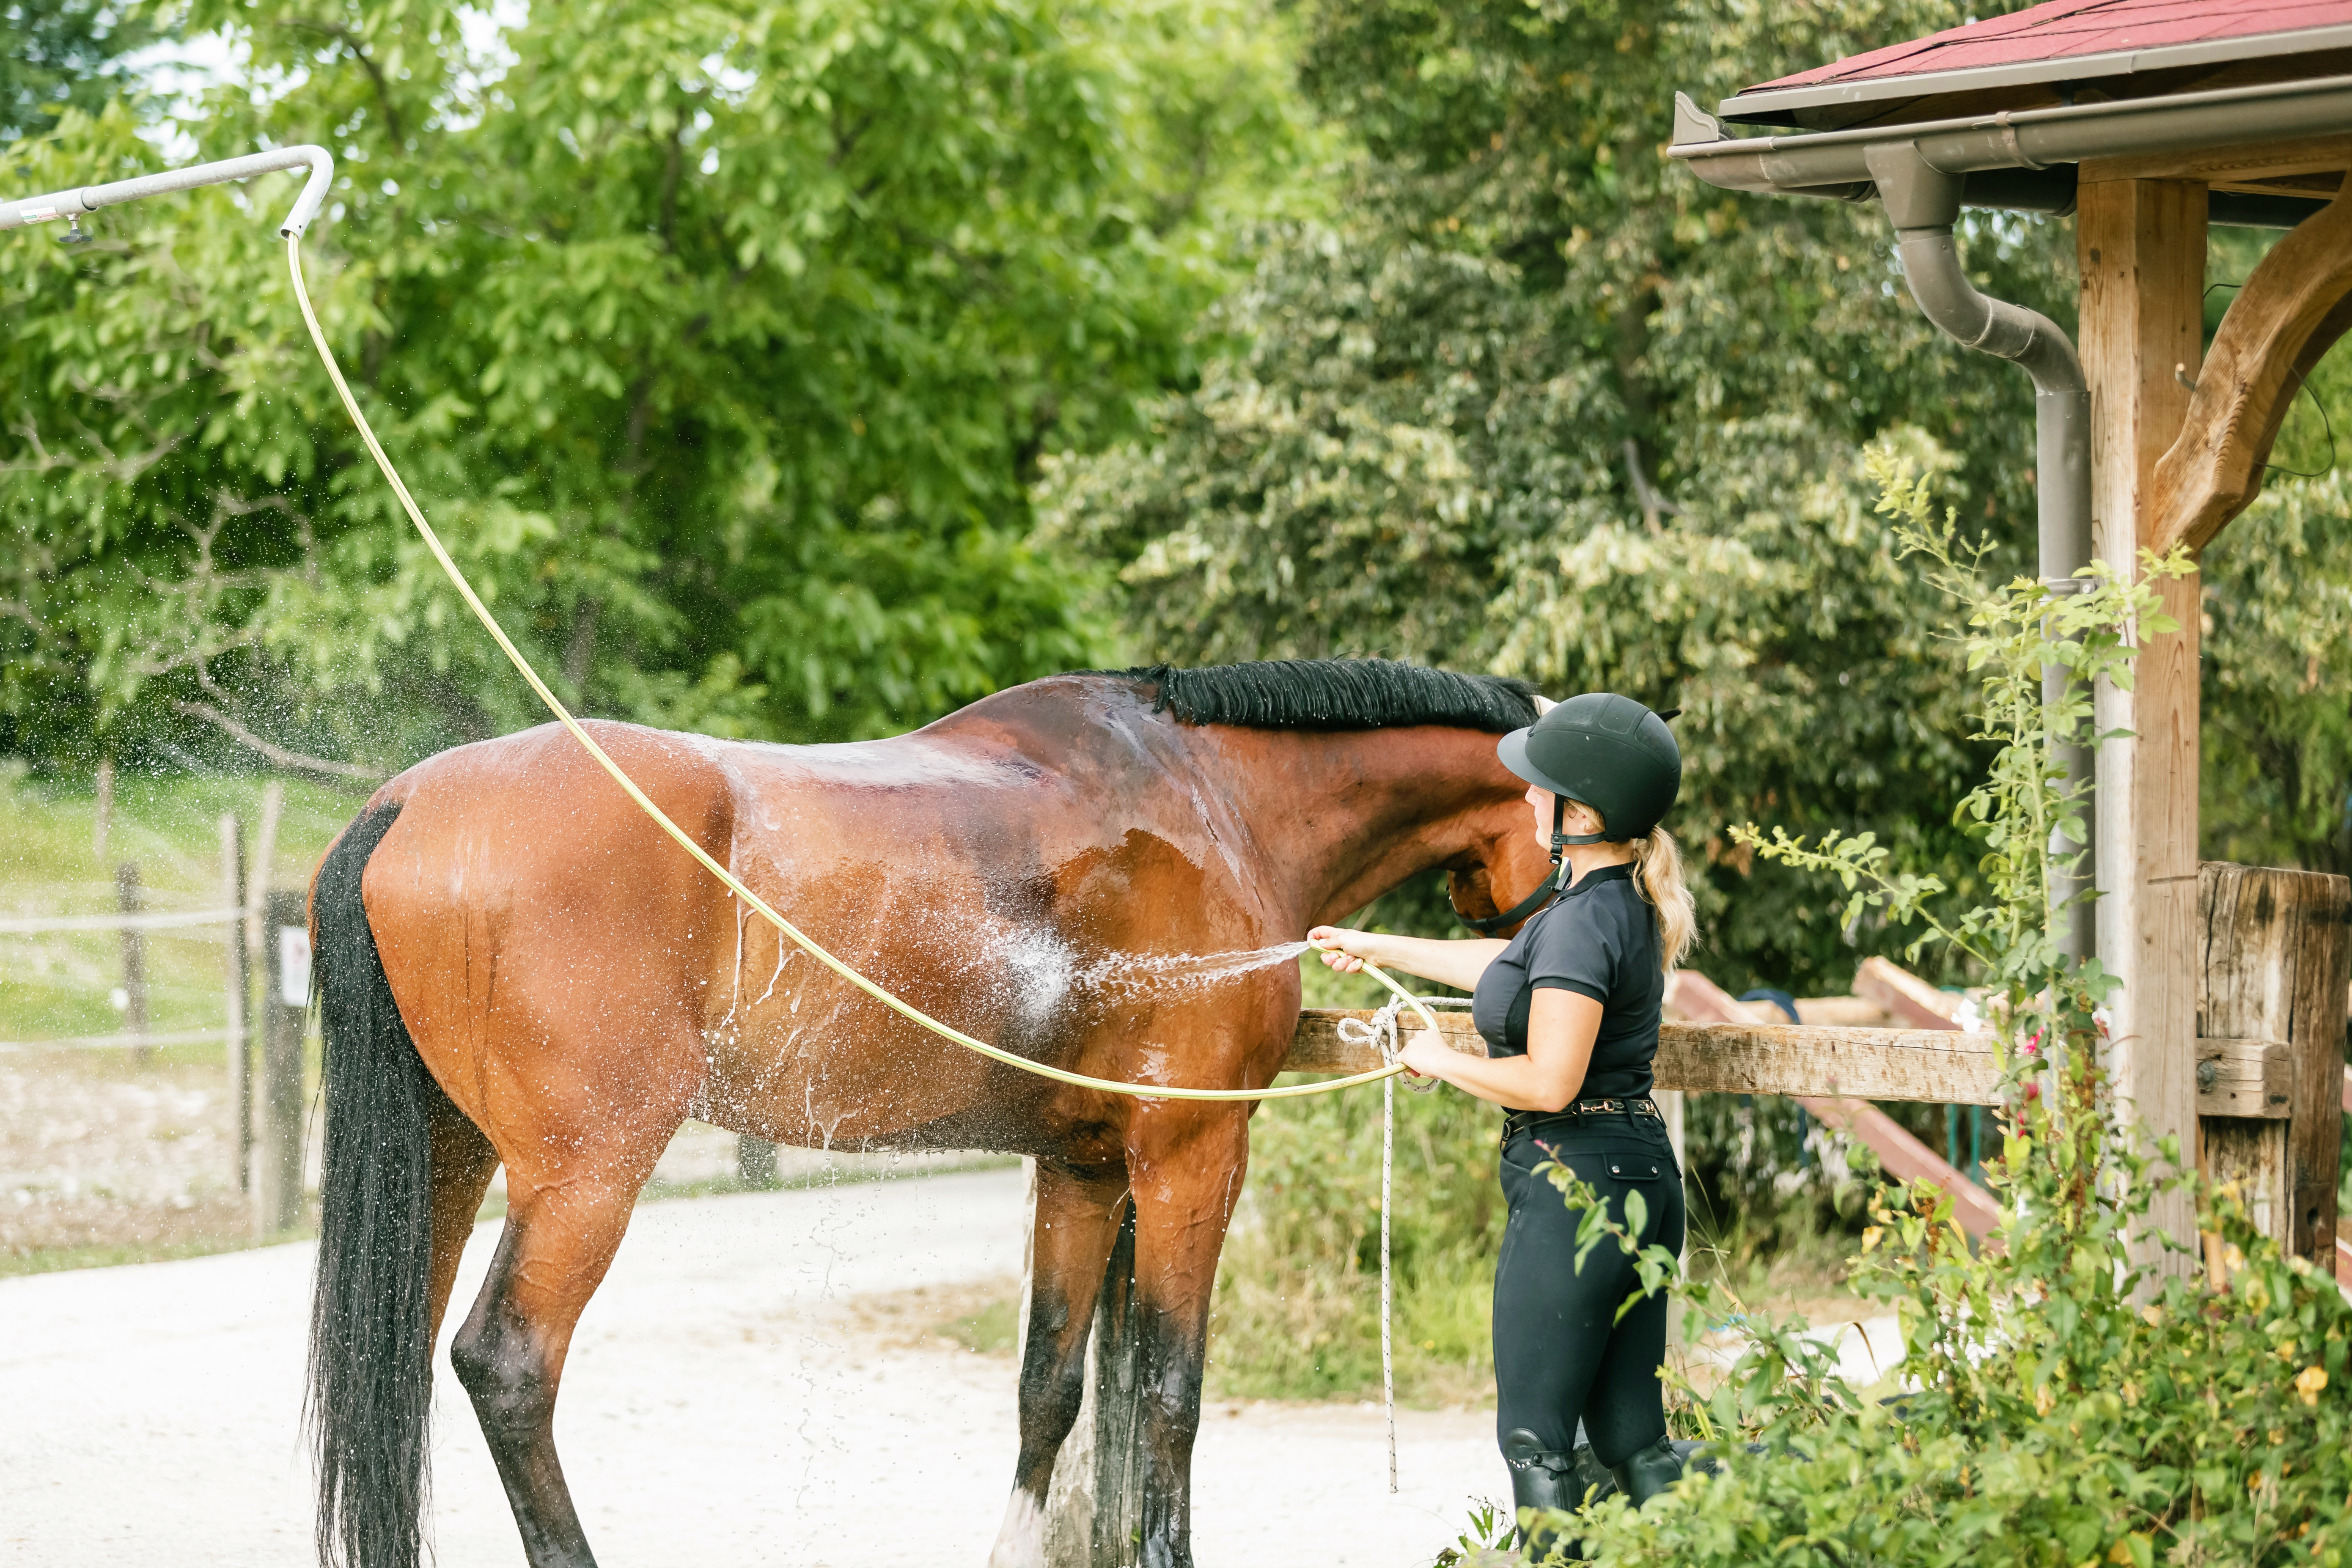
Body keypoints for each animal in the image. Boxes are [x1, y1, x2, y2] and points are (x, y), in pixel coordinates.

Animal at [304, 657, 1555, 1568]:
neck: (1218, 800)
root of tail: (404, 803)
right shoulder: (1191, 1155)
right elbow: (1167, 1394)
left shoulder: (1084, 1168)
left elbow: (1052, 1385)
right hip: (585, 1179)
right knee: (507, 1365)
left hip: (448, 1163)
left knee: (395, 1368)